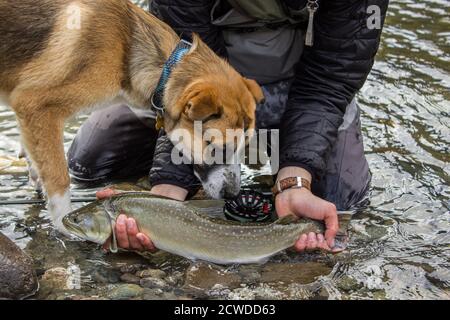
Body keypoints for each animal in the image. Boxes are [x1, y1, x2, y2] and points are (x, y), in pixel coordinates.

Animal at [0, 0, 264, 230]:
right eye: (217, 147)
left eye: (244, 147)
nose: (233, 195)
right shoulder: (36, 104)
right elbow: (59, 181)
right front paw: (65, 225)